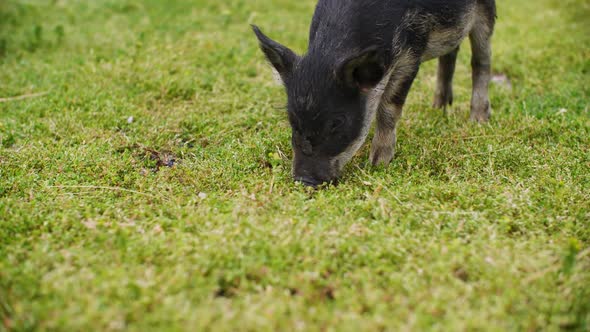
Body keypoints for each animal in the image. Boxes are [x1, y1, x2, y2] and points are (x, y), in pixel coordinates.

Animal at [252, 0, 498, 187]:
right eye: (292, 119)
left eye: (337, 122)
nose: (304, 181)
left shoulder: (410, 53)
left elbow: (389, 106)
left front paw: (378, 164)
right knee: (451, 54)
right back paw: (438, 108)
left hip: (485, 11)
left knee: (481, 61)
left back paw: (478, 120)